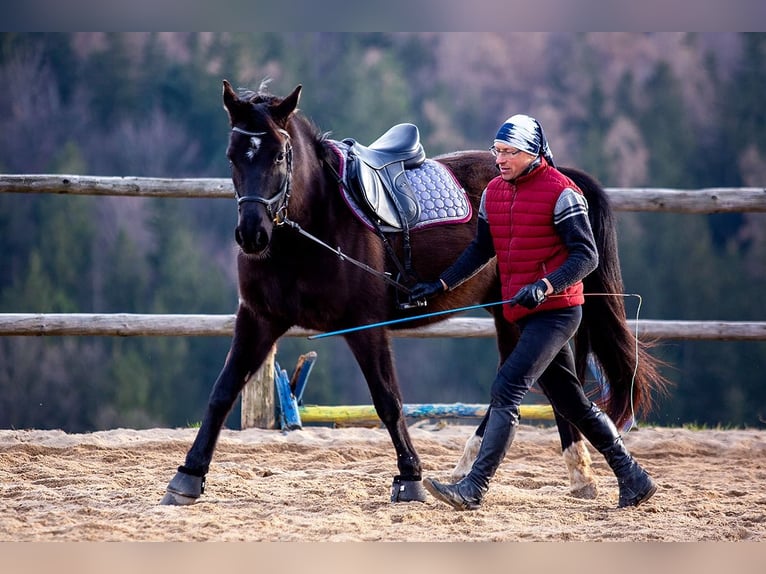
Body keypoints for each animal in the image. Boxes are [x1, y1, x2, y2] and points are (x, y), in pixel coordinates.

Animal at [160, 81, 668, 505]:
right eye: (233, 156)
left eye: (280, 156)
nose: (252, 235)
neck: (313, 225)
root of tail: (566, 175)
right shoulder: (259, 318)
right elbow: (222, 392)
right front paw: (187, 476)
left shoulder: (365, 326)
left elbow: (387, 400)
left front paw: (410, 479)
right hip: (510, 313)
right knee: (538, 382)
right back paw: (508, 469)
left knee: (548, 384)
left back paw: (565, 472)